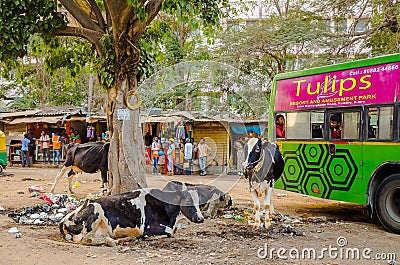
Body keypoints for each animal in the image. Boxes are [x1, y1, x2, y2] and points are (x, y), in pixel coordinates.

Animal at [58, 187, 206, 244]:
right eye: (188, 201)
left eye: (200, 202)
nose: (201, 219)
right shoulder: (148, 228)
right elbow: (168, 233)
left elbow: (172, 232)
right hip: (94, 214)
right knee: (88, 240)